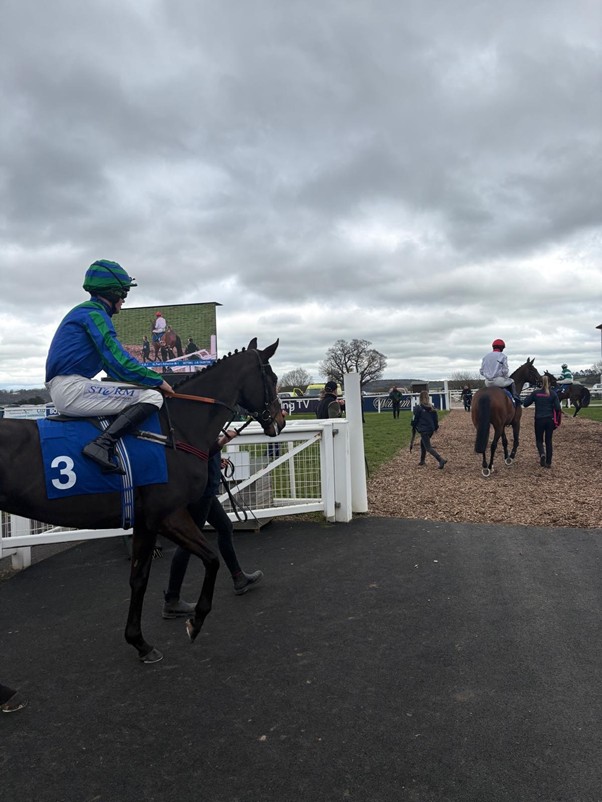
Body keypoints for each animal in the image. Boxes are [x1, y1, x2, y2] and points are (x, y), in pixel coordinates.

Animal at [0, 339, 285, 663]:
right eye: (273, 378)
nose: (280, 421)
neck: (175, 430)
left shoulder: (146, 522)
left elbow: (139, 578)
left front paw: (139, 642)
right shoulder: (168, 515)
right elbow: (211, 559)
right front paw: (196, 621)